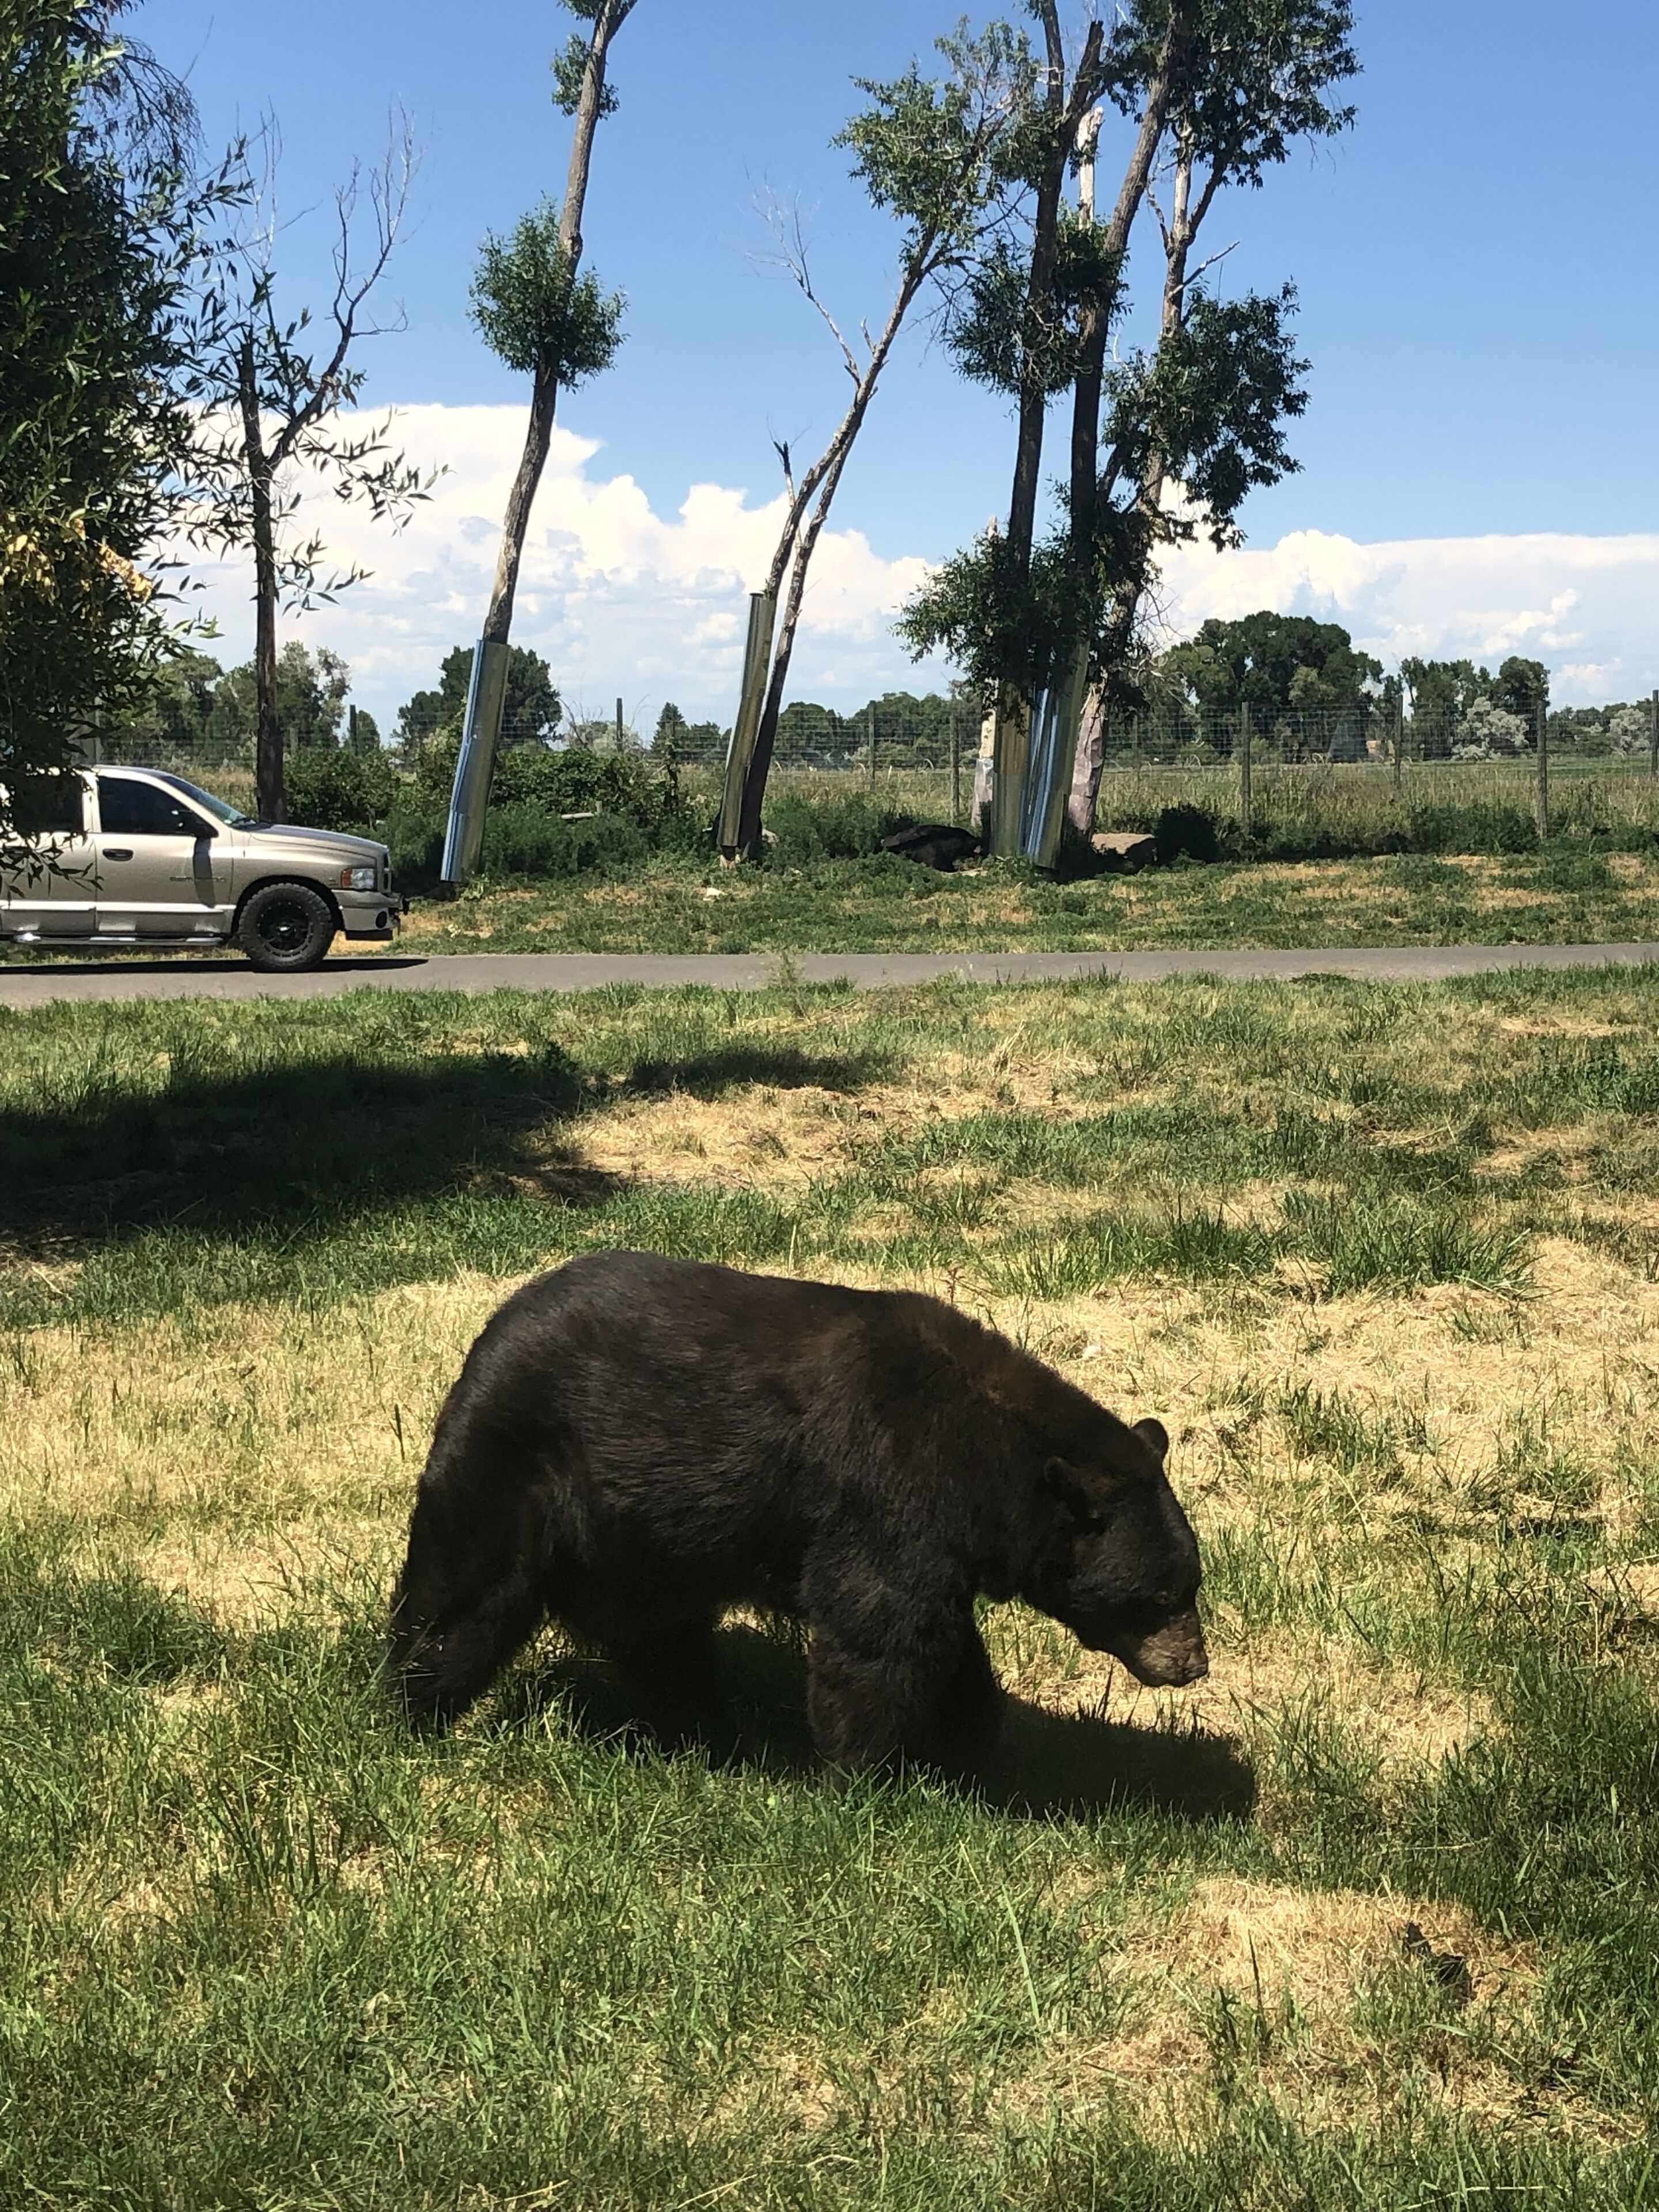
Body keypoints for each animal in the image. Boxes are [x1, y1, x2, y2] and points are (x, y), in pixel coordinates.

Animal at [390, 1250, 1207, 1773]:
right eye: (1159, 1596)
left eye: (1191, 1584)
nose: (1194, 1664)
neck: (985, 1455)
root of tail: (491, 1330)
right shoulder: (886, 1491)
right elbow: (878, 1632)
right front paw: (866, 1771)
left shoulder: (939, 1541)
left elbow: (942, 1639)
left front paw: (968, 1733)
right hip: (518, 1461)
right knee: (459, 1600)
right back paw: (410, 1712)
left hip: (638, 1543)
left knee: (659, 1636)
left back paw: (696, 1725)